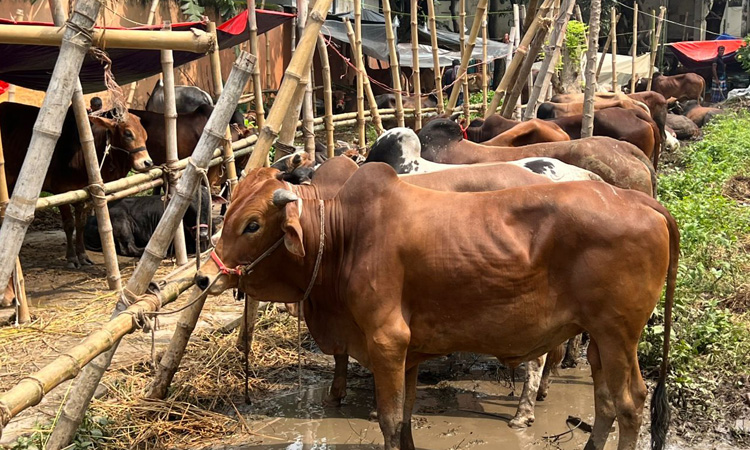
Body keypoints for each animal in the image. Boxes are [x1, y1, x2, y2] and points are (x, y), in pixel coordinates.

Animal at [0, 102, 152, 268]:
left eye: (145, 135)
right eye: (128, 133)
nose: (147, 162)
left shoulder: (83, 193)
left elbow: (80, 224)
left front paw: (83, 256)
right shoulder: (60, 192)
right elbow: (69, 224)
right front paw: (72, 258)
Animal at [195, 161, 678, 450]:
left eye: (252, 224)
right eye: (227, 212)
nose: (203, 276)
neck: (344, 237)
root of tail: (638, 199)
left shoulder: (386, 343)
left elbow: (390, 420)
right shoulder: (407, 352)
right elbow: (406, 417)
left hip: (618, 335)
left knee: (630, 403)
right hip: (601, 339)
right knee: (606, 401)